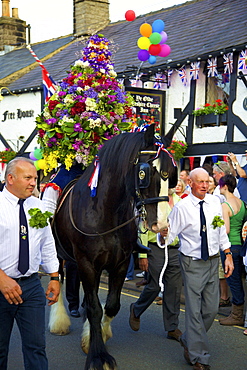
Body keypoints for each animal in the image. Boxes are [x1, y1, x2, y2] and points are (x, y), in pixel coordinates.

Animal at [50, 123, 178, 368]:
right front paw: (98, 355)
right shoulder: (87, 263)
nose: (162, 224)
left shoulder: (119, 264)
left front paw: (96, 335)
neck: (105, 211)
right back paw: (59, 320)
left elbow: (110, 306)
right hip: (59, 254)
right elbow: (94, 308)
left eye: (172, 175)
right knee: (58, 280)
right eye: (145, 172)